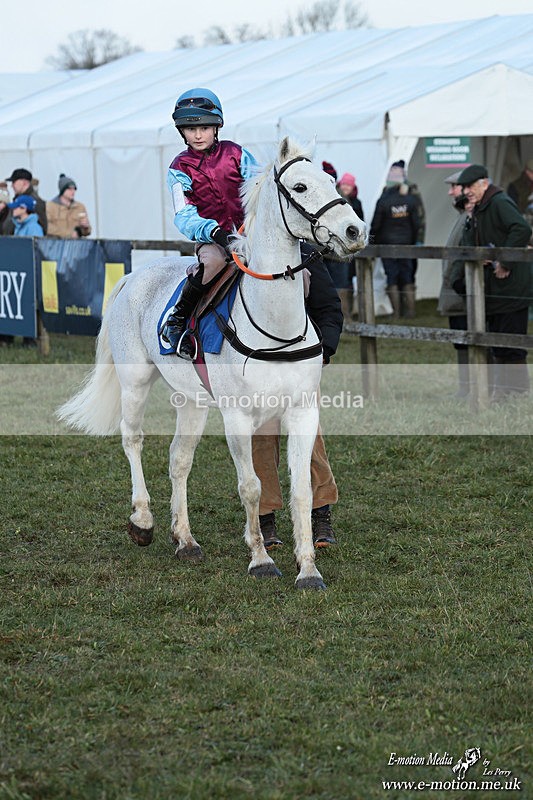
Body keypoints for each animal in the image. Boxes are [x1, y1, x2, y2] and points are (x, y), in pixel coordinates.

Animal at [58, 137, 366, 590]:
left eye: (330, 180)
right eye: (300, 187)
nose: (354, 231)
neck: (275, 326)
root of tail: (133, 277)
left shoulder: (302, 411)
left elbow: (302, 490)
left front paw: (308, 569)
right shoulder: (237, 418)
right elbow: (251, 487)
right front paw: (261, 560)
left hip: (193, 403)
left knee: (178, 459)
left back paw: (185, 540)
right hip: (136, 383)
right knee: (133, 439)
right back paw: (143, 521)